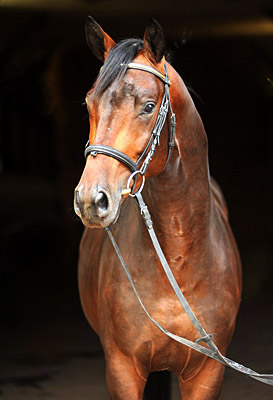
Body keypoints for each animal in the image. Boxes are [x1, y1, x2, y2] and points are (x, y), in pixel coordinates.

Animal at [73, 17, 241, 398]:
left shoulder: (208, 372)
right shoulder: (123, 369)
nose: (91, 200)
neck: (179, 261)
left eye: (149, 106)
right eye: (89, 103)